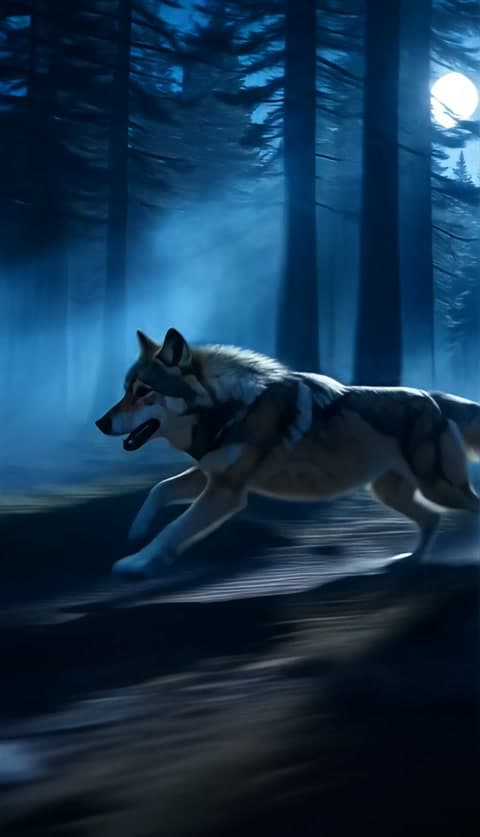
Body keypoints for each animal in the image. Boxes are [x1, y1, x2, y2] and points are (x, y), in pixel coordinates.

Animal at [95, 328, 480, 577]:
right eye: (125, 390)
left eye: (144, 391)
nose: (100, 422)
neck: (228, 409)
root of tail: (435, 398)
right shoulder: (210, 475)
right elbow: (159, 489)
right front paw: (136, 531)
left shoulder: (226, 492)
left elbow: (174, 528)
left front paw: (136, 563)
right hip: (390, 492)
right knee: (431, 519)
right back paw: (410, 560)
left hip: (438, 488)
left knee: (460, 510)